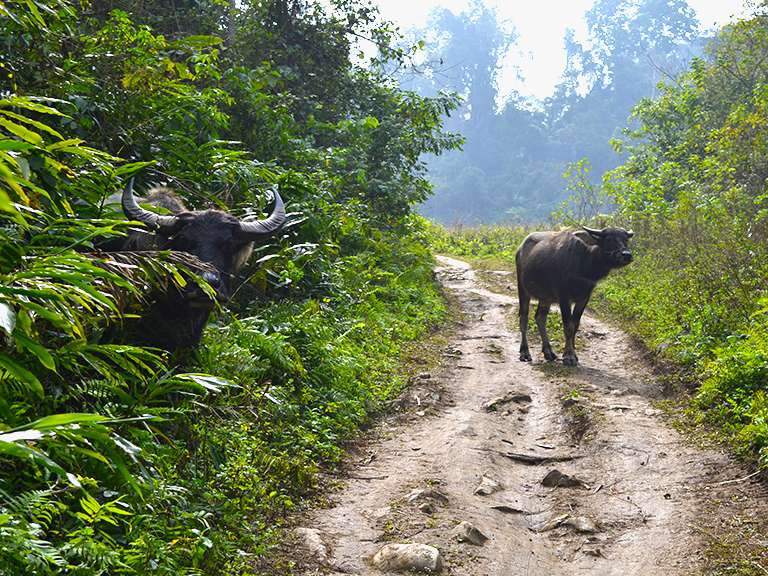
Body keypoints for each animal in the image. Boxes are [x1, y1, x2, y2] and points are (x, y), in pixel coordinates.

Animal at [516, 227, 636, 366]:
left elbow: (576, 325)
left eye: (626, 239)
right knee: (524, 318)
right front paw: (569, 356)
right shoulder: (564, 297)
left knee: (540, 318)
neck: (584, 263)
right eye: (608, 239)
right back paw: (525, 352)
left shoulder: (584, 298)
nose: (626, 254)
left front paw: (572, 352)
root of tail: (520, 249)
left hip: (546, 298)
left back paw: (548, 352)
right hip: (523, 289)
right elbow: (568, 326)